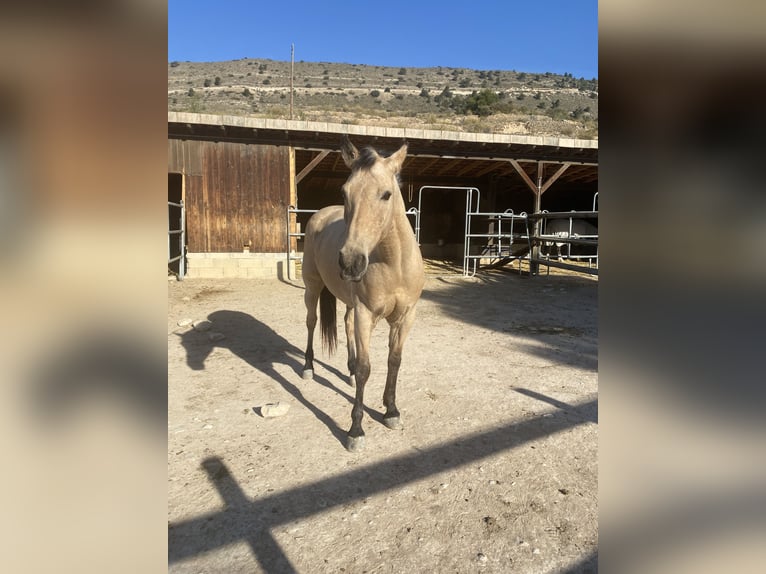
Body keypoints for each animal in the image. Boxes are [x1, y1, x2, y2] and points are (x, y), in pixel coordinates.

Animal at [304, 137, 428, 452]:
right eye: (345, 192)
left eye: (386, 194)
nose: (350, 261)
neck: (394, 264)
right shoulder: (365, 313)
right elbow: (365, 368)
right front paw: (355, 430)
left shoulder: (406, 316)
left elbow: (394, 360)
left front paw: (391, 411)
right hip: (312, 288)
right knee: (311, 323)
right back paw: (308, 367)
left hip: (349, 302)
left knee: (345, 324)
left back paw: (345, 372)